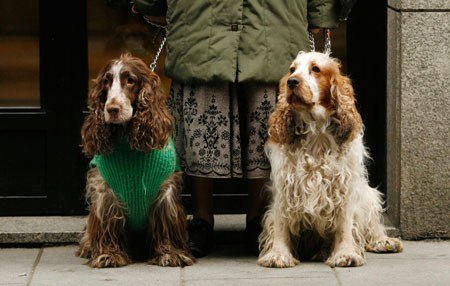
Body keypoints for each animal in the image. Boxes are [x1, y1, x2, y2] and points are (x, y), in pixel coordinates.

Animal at [75, 53, 193, 268]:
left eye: (130, 80)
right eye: (106, 81)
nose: (112, 109)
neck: (127, 141)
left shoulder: (165, 192)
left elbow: (166, 223)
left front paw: (170, 253)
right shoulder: (105, 191)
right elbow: (108, 222)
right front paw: (109, 254)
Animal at [258, 52, 402, 268]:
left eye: (315, 69)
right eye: (292, 70)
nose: (292, 82)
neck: (317, 134)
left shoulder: (344, 186)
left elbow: (345, 224)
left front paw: (345, 253)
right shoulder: (285, 184)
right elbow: (280, 222)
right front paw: (278, 255)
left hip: (368, 195)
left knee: (373, 224)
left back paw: (383, 241)